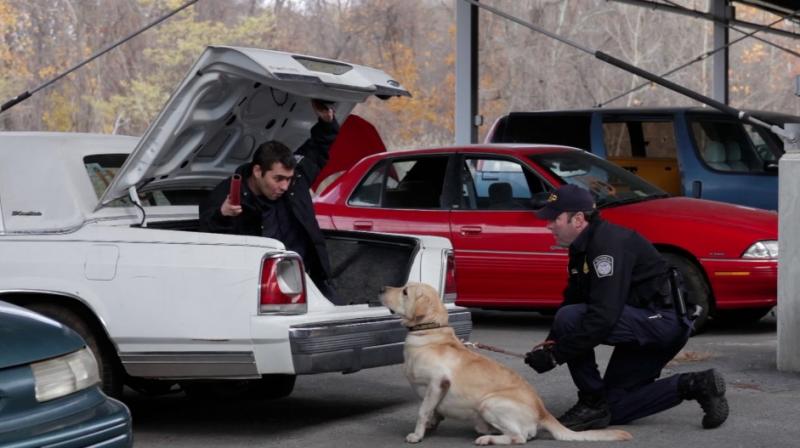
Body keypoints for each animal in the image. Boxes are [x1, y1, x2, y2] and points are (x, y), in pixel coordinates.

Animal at [382, 284, 632, 444]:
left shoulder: (438, 382)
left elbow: (423, 411)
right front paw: (431, 426)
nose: (382, 289)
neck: (429, 332)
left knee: (519, 438)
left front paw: (417, 435)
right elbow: (432, 412)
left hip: (488, 403)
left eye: (405, 291)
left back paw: (487, 439)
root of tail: (543, 412)